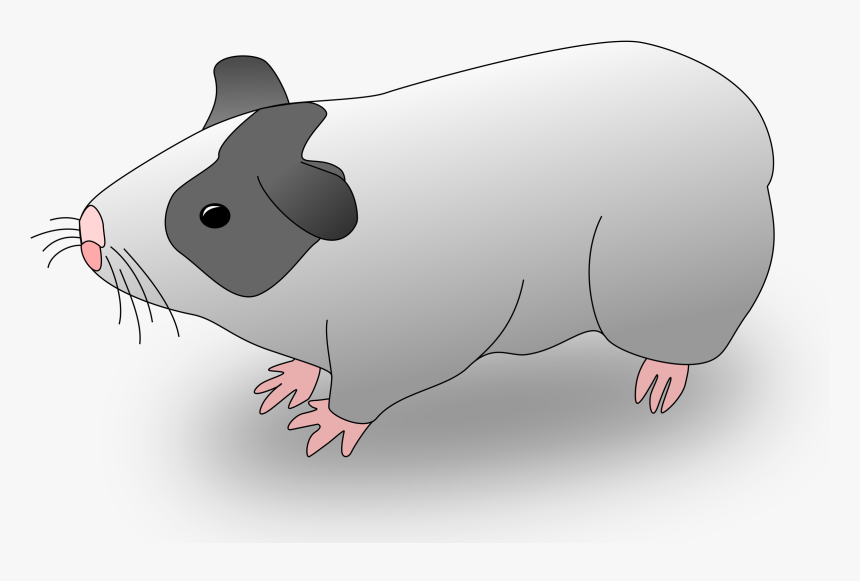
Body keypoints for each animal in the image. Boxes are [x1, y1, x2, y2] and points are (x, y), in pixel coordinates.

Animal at [40, 41, 774, 457]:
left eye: (212, 215)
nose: (91, 234)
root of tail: (754, 127)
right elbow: (305, 365)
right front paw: (281, 387)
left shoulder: (404, 344)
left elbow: (364, 395)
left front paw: (320, 431)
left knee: (685, 345)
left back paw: (658, 387)